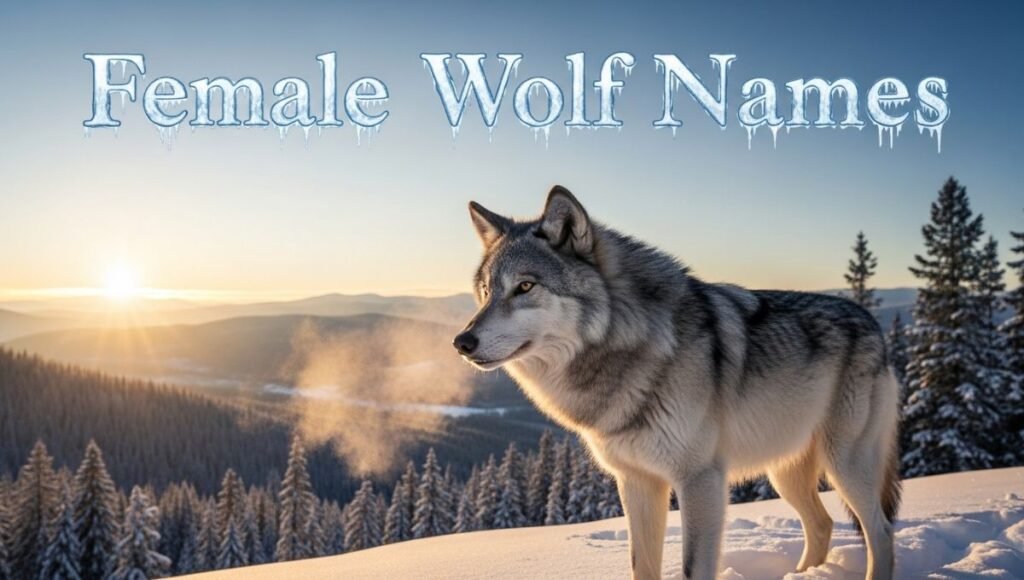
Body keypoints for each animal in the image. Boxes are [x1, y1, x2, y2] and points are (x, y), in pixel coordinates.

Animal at [453, 186, 901, 580]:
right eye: (486, 291)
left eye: (525, 286)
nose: (461, 342)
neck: (629, 347)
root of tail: (871, 322)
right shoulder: (637, 482)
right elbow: (642, 566)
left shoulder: (699, 479)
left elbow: (692, 568)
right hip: (785, 473)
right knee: (823, 524)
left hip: (844, 463)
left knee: (880, 530)